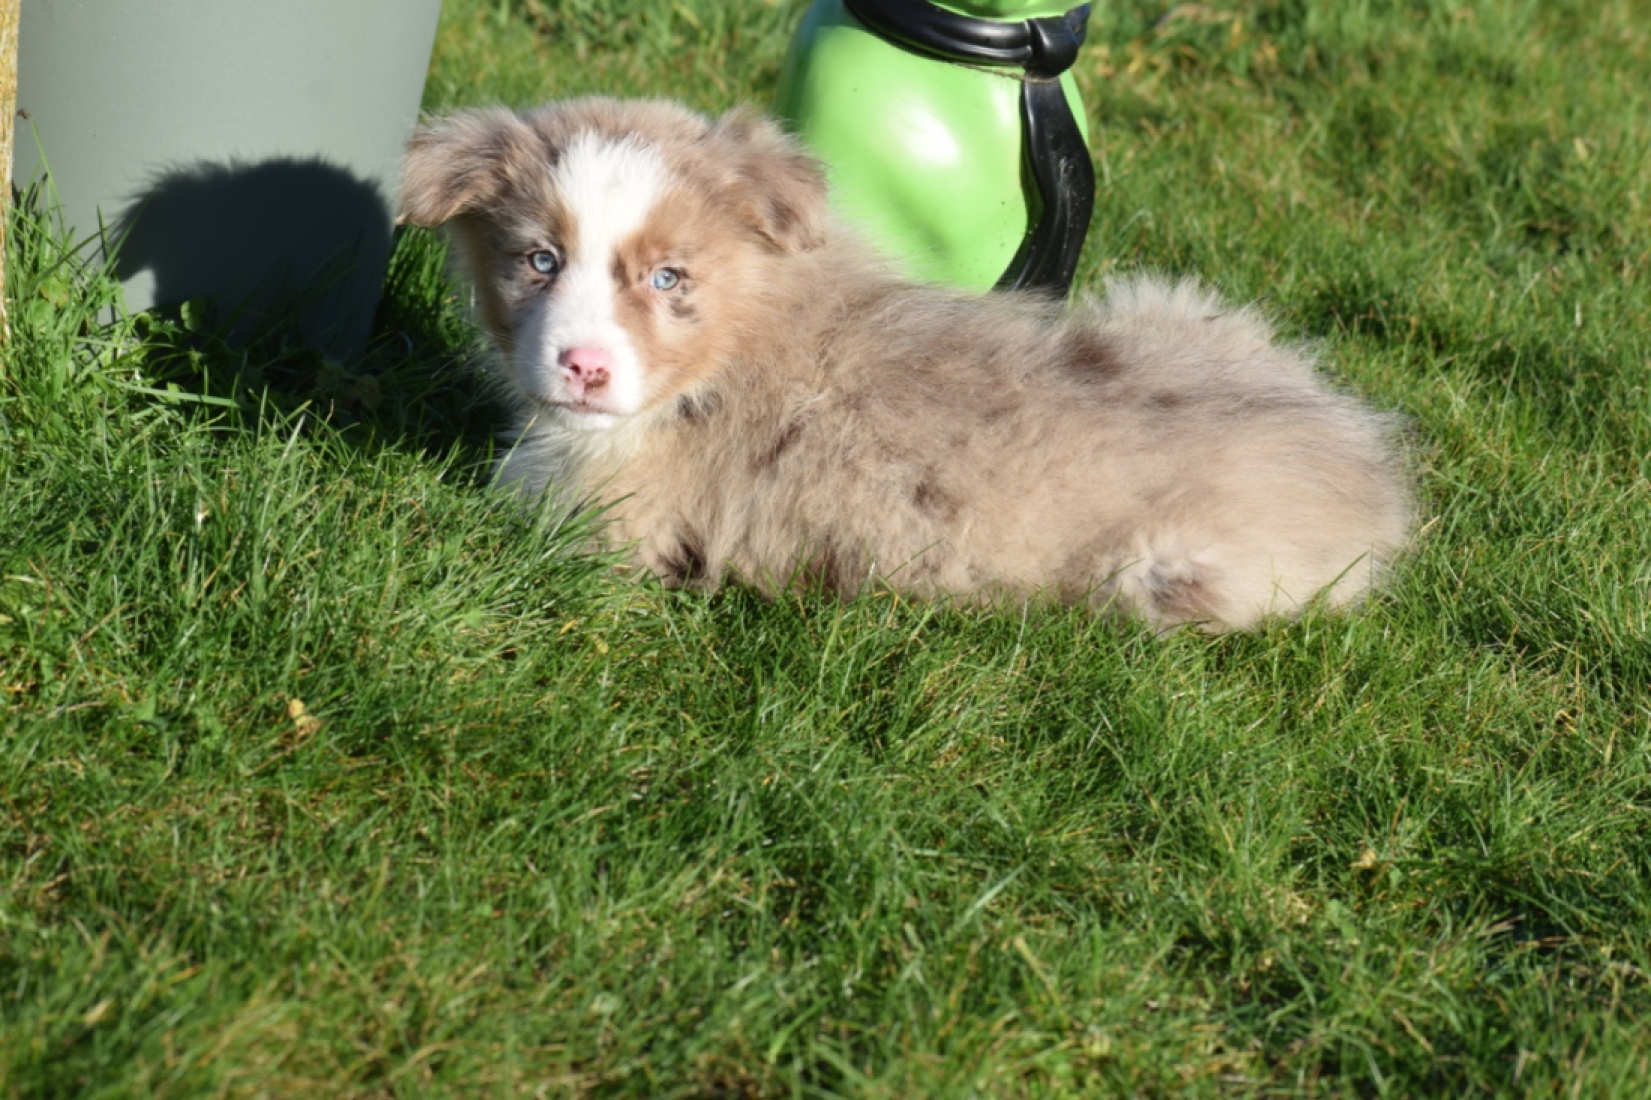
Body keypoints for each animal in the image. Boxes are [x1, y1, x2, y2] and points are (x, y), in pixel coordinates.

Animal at [401, 97, 1412, 631]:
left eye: (666, 277)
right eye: (539, 260)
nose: (582, 367)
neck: (735, 347)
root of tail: (1367, 472)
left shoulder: (609, 532)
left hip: (1166, 577)